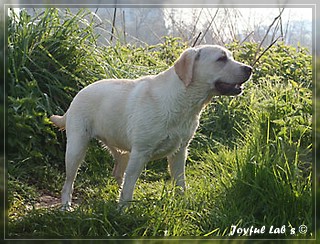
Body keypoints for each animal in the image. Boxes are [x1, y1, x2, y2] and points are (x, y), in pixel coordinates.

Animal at [50, 44, 251, 209]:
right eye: (221, 59)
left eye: (230, 56)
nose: (249, 69)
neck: (183, 100)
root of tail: (78, 94)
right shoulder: (140, 152)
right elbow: (129, 187)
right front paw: (122, 212)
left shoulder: (180, 152)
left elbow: (180, 182)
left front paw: (183, 204)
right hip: (76, 149)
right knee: (69, 182)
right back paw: (65, 205)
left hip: (121, 150)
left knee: (118, 172)